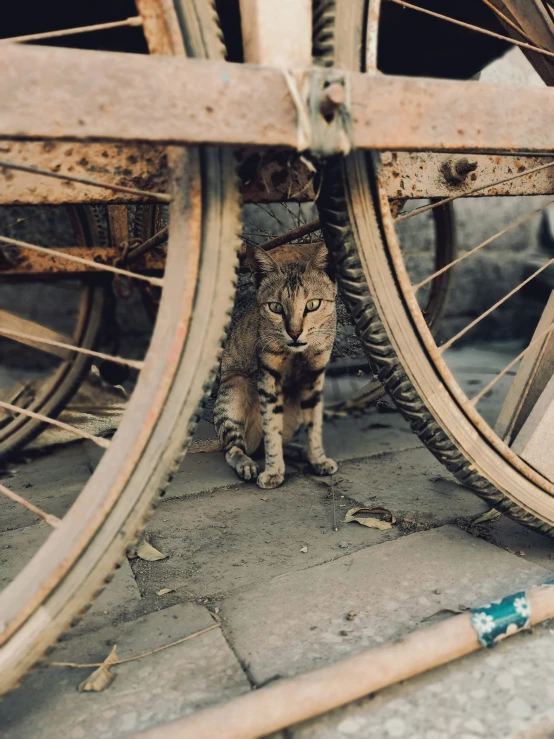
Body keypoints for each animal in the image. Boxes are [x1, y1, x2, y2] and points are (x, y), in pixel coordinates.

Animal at [213, 243, 336, 488]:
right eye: (276, 307)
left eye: (313, 305)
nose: (295, 332)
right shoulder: (268, 379)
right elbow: (271, 427)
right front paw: (273, 471)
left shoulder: (314, 377)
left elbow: (314, 424)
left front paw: (317, 458)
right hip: (234, 389)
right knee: (233, 448)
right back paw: (246, 463)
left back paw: (300, 451)